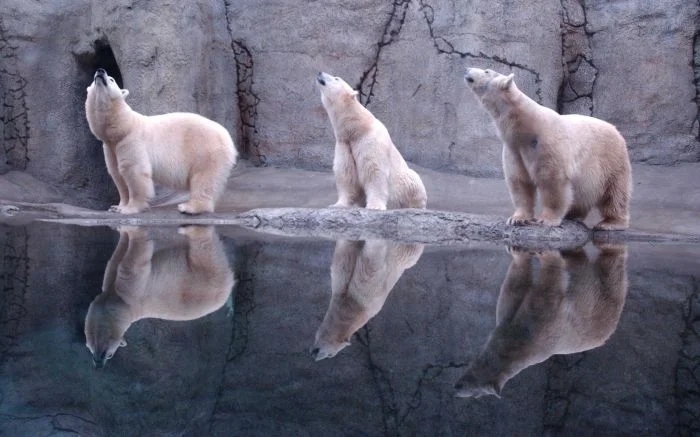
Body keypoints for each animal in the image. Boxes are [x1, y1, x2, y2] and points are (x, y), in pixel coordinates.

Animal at [84, 67, 238, 215]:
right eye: (93, 79)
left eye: (112, 79)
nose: (100, 70)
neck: (123, 127)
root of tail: (227, 137)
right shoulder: (110, 148)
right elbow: (117, 174)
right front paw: (117, 207)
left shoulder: (131, 141)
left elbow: (134, 170)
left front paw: (130, 209)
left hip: (205, 148)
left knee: (204, 177)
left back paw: (189, 207)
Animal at [318, 71, 426, 209]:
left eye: (336, 78)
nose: (320, 72)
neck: (357, 129)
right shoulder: (344, 144)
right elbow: (346, 174)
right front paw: (338, 204)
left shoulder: (370, 141)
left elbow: (374, 171)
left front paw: (375, 206)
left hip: (405, 180)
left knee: (413, 180)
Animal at [454, 244, 628, 396]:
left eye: (471, 393)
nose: (456, 388)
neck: (514, 347)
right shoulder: (508, 326)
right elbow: (515, 289)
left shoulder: (539, 334)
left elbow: (547, 291)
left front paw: (544, 254)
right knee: (578, 262)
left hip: (604, 302)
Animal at [464, 67, 636, 228]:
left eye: (487, 71)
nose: (467, 69)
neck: (525, 126)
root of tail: (616, 131)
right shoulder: (514, 149)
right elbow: (519, 182)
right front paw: (517, 218)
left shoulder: (546, 144)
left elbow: (552, 180)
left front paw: (545, 219)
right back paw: (573, 214)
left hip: (612, 159)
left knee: (614, 193)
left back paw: (610, 223)